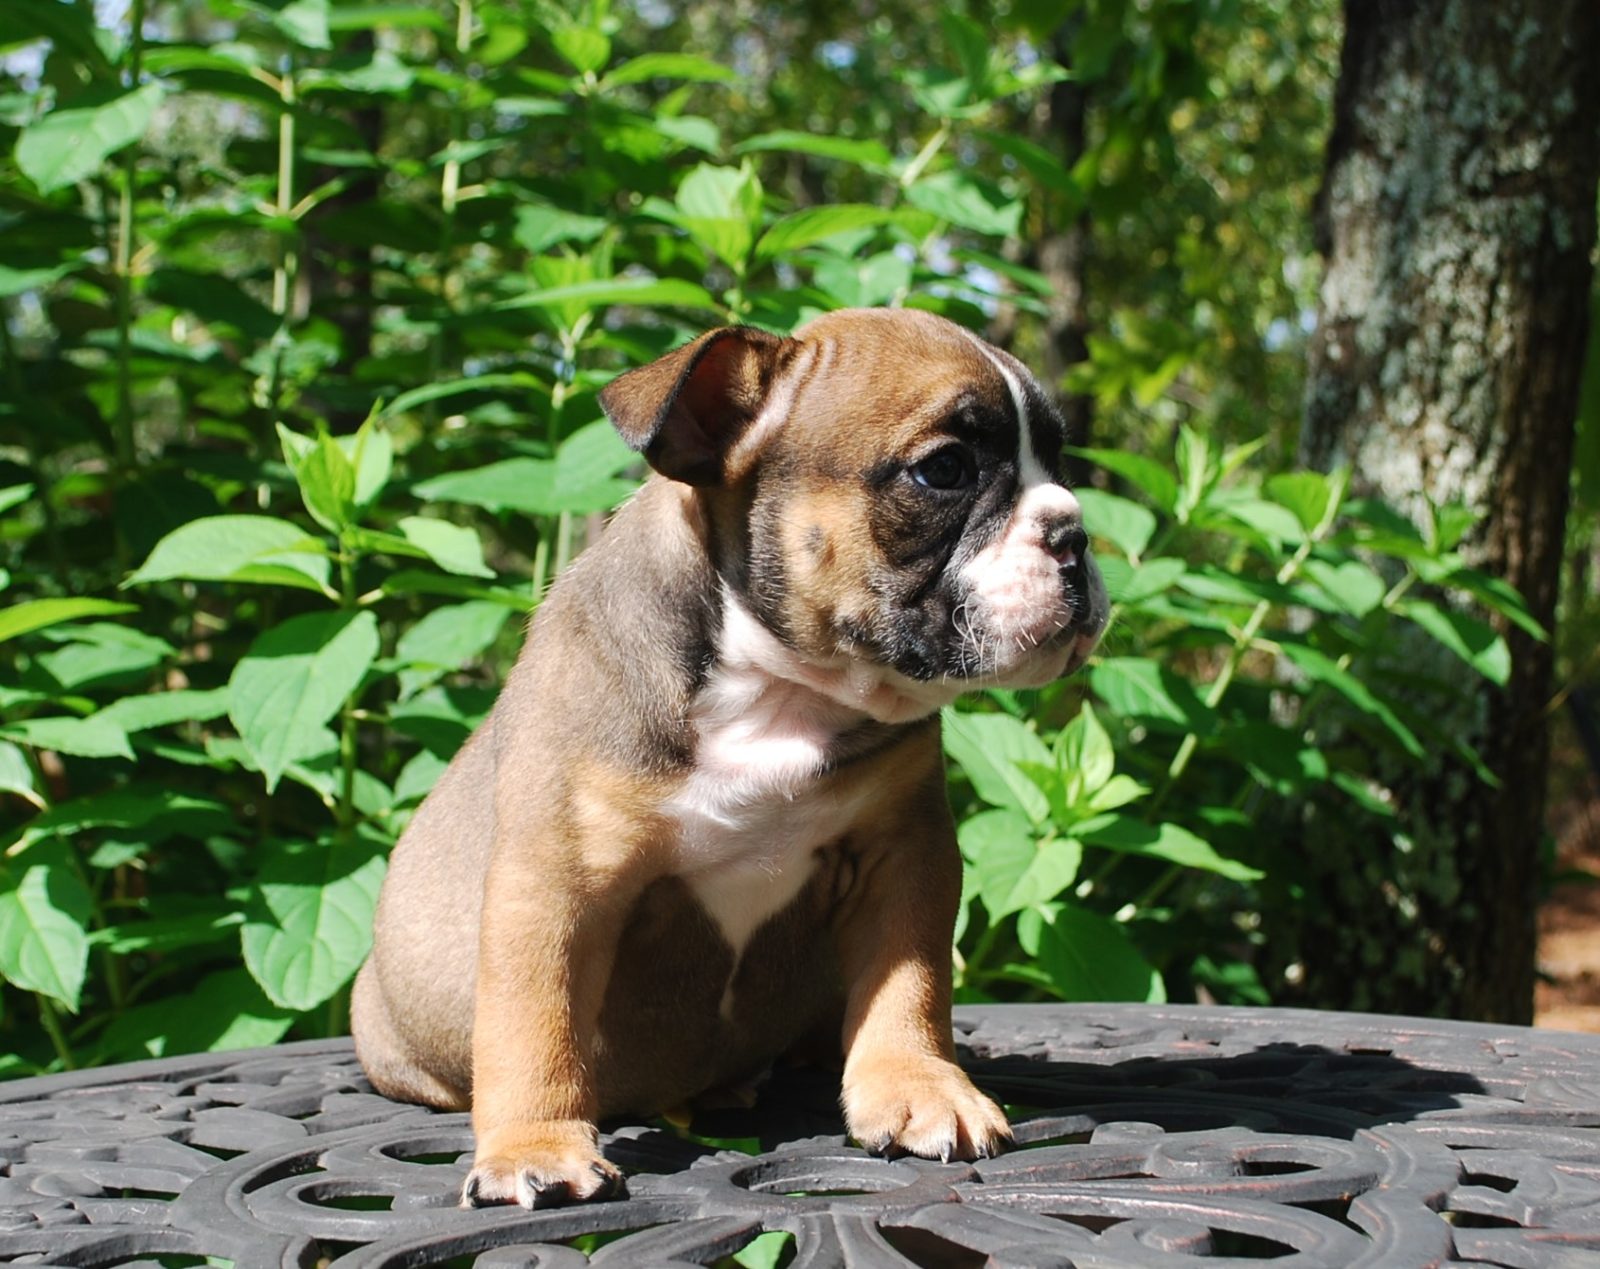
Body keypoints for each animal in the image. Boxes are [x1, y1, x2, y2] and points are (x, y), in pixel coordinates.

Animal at [355, 307, 1107, 1209]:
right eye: (945, 470)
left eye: (1059, 462)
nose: (1075, 532)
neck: (779, 690)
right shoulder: (555, 883)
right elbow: (536, 1022)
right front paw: (534, 1144)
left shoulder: (905, 851)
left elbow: (910, 984)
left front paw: (919, 1085)